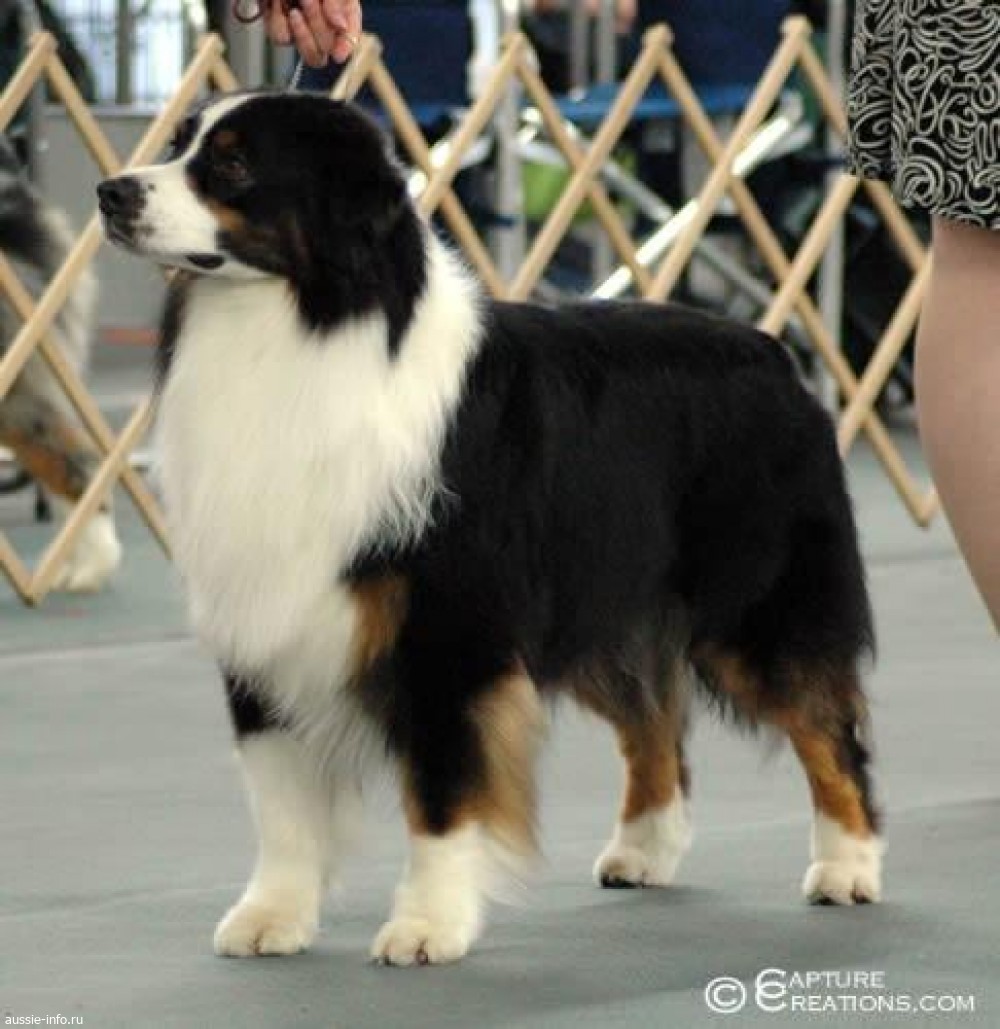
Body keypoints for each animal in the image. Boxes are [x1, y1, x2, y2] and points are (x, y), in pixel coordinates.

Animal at [97, 92, 882, 967]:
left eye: (232, 163)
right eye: (178, 142)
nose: (110, 192)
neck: (299, 328)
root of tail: (776, 352)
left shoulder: (450, 628)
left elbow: (442, 790)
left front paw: (426, 925)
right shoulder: (267, 613)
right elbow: (283, 797)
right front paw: (273, 915)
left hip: (758, 609)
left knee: (828, 728)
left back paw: (848, 867)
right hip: (601, 607)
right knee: (653, 724)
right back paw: (644, 850)